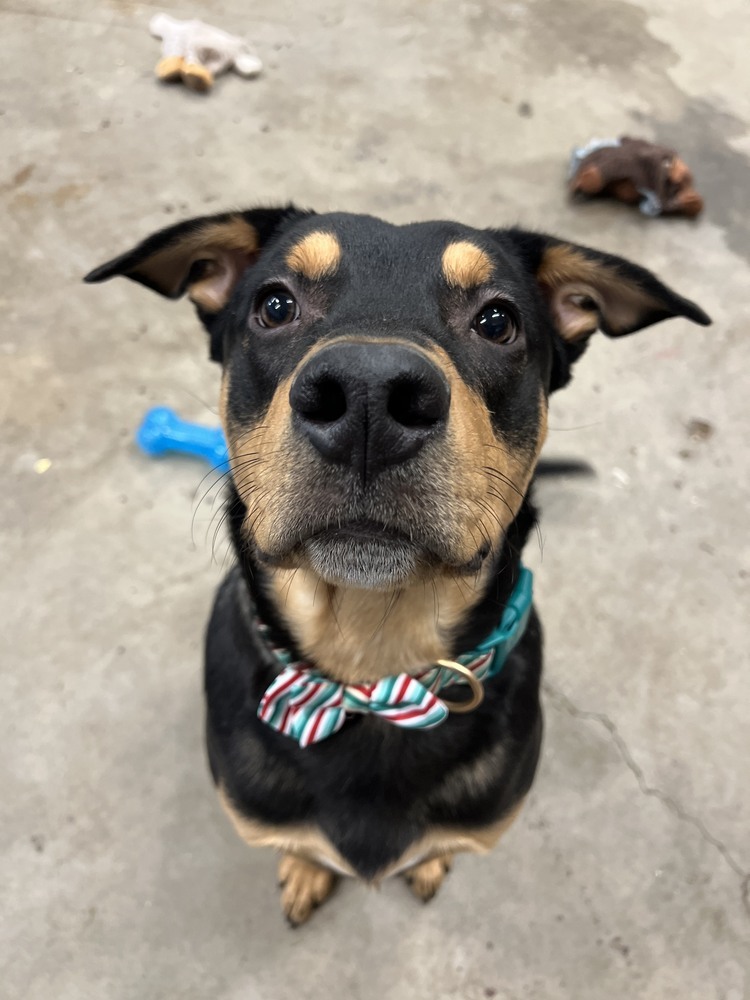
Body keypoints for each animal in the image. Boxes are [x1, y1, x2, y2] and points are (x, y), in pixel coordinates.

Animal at [86, 207, 712, 924]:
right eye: (275, 305)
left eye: (497, 320)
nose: (368, 392)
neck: (370, 661)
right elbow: (299, 843)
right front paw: (305, 869)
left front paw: (430, 862)